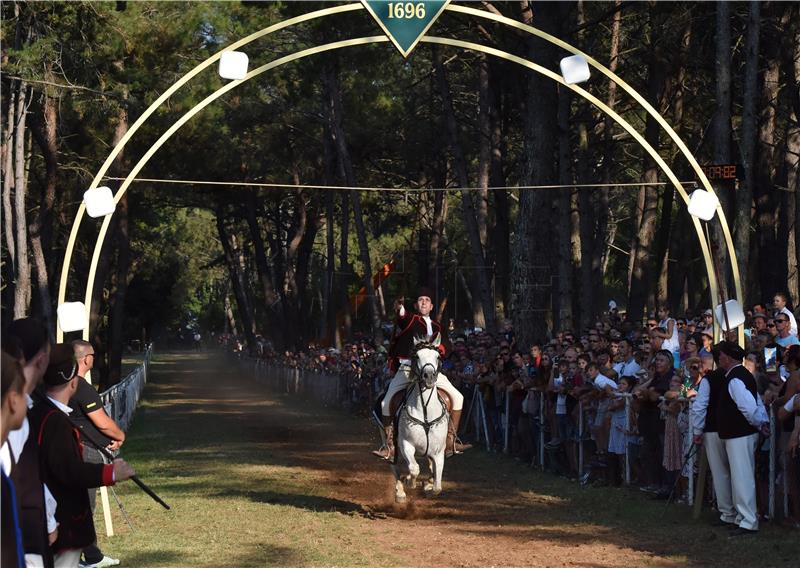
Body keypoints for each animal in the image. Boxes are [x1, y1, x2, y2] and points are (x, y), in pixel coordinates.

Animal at [394, 336, 450, 504]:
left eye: (437, 357)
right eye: (417, 356)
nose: (429, 376)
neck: (425, 410)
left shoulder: (438, 452)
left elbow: (438, 486)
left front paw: (429, 488)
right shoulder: (406, 444)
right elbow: (414, 468)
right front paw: (409, 482)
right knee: (395, 466)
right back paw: (400, 492)